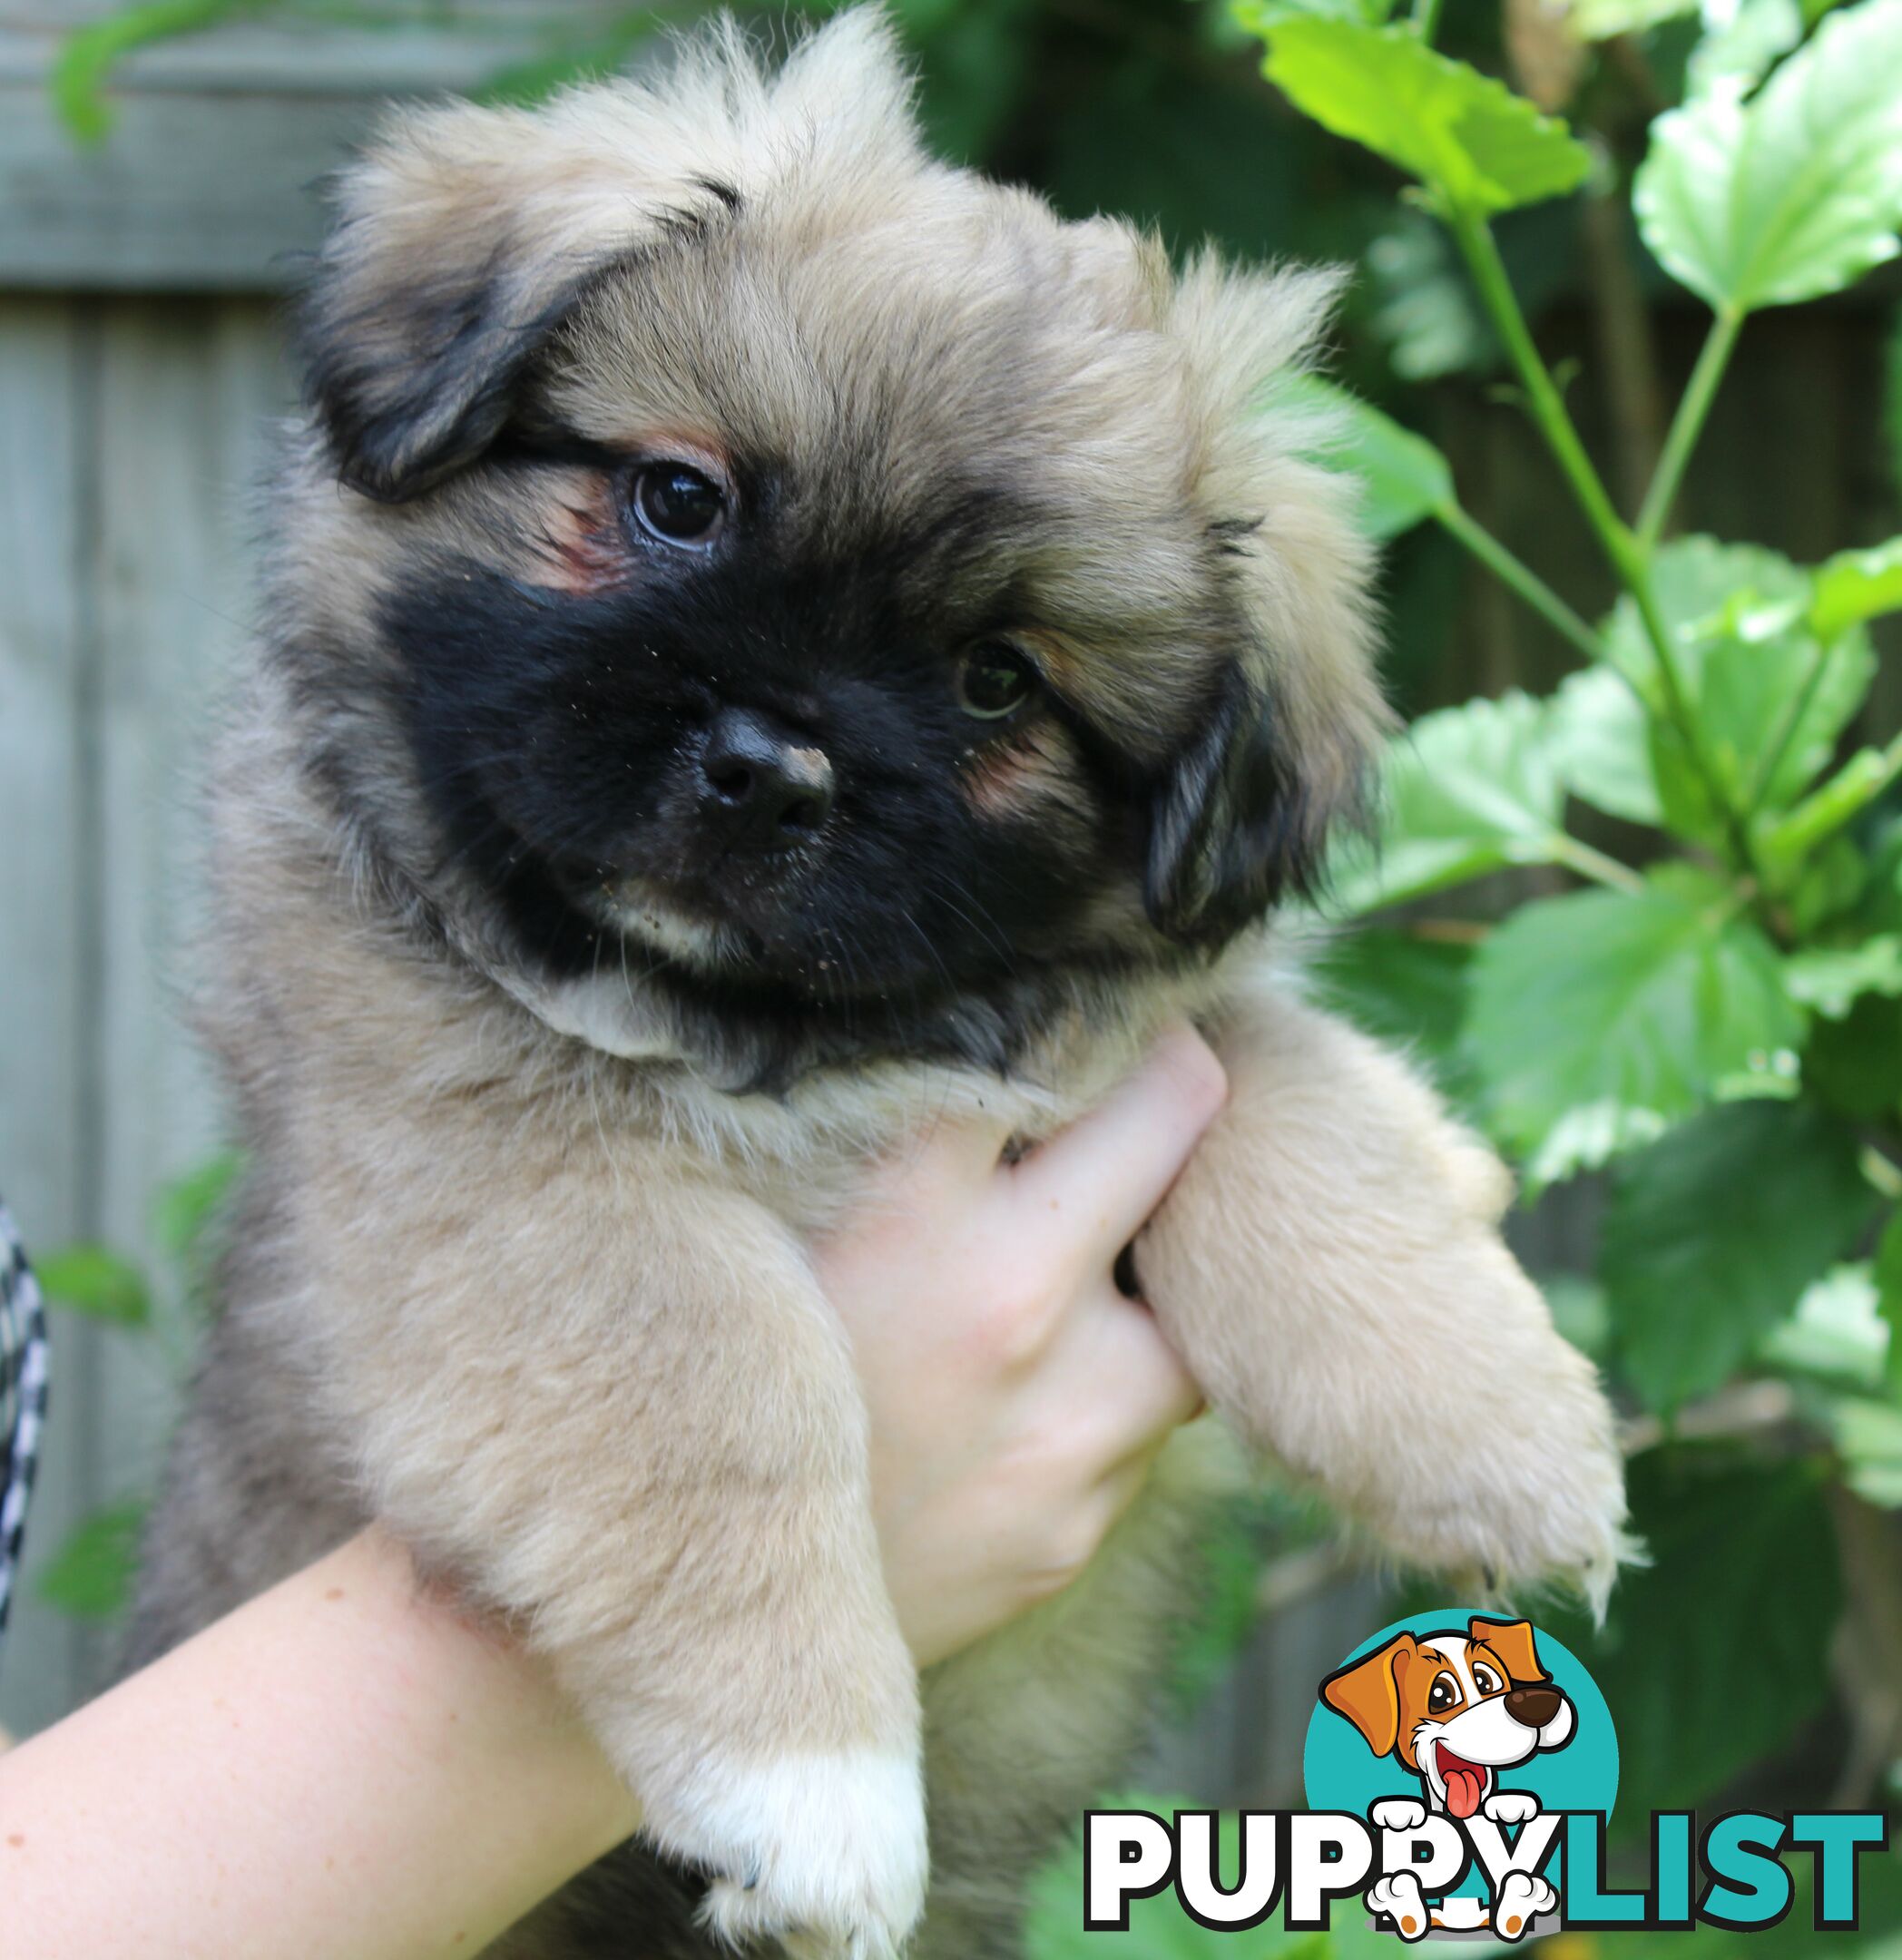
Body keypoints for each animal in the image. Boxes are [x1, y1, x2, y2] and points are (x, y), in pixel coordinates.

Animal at [126, 19, 1623, 1960]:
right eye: (677, 501)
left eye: (996, 682)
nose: (771, 763)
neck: (792, 1040)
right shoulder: (519, 1187)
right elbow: (729, 1400)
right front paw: (811, 1780)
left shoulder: (1147, 1041)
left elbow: (1304, 1117)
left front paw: (1501, 1434)